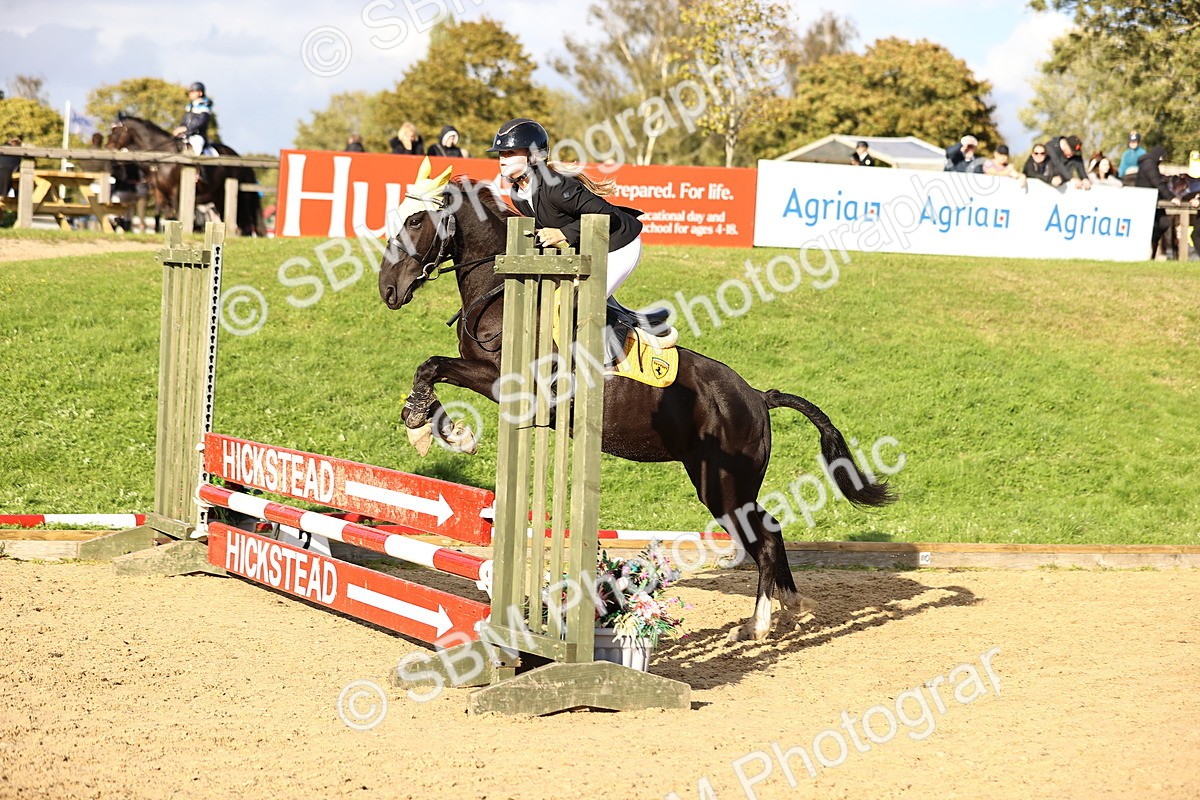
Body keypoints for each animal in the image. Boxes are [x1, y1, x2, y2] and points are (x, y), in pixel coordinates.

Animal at [106, 114, 262, 236]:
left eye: (116, 130)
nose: (108, 148)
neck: (166, 158)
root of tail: (239, 158)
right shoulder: (159, 191)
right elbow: (158, 213)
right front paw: (158, 232)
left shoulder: (176, 191)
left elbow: (174, 214)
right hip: (218, 197)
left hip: (234, 197)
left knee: (244, 221)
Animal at [377, 174, 895, 642]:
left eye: (417, 220)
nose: (387, 291)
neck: (504, 291)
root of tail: (756, 397)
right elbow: (433, 368)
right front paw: (427, 426)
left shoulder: (507, 382)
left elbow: (433, 366)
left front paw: (440, 431)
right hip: (720, 483)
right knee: (770, 532)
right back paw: (787, 607)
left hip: (724, 487)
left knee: (765, 539)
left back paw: (759, 625)